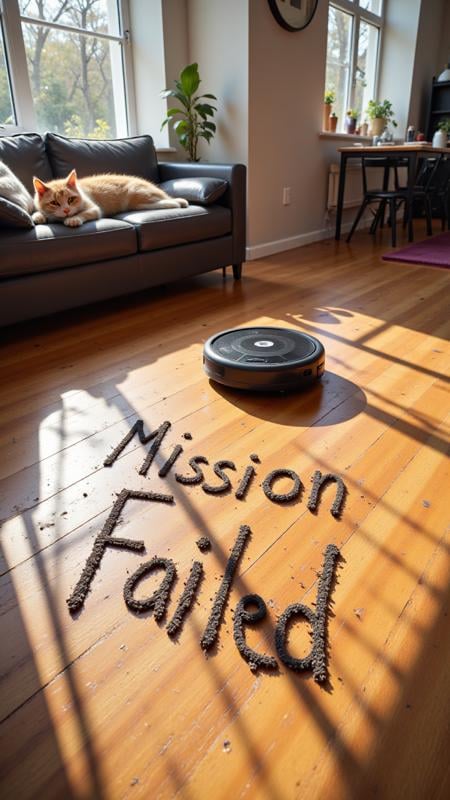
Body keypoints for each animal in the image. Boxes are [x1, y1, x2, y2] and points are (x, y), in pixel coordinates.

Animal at [32, 170, 188, 227]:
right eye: (54, 203)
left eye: (71, 199)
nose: (66, 210)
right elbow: (39, 212)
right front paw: (38, 216)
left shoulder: (94, 208)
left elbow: (86, 212)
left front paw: (73, 218)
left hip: (137, 194)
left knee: (170, 202)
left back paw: (177, 203)